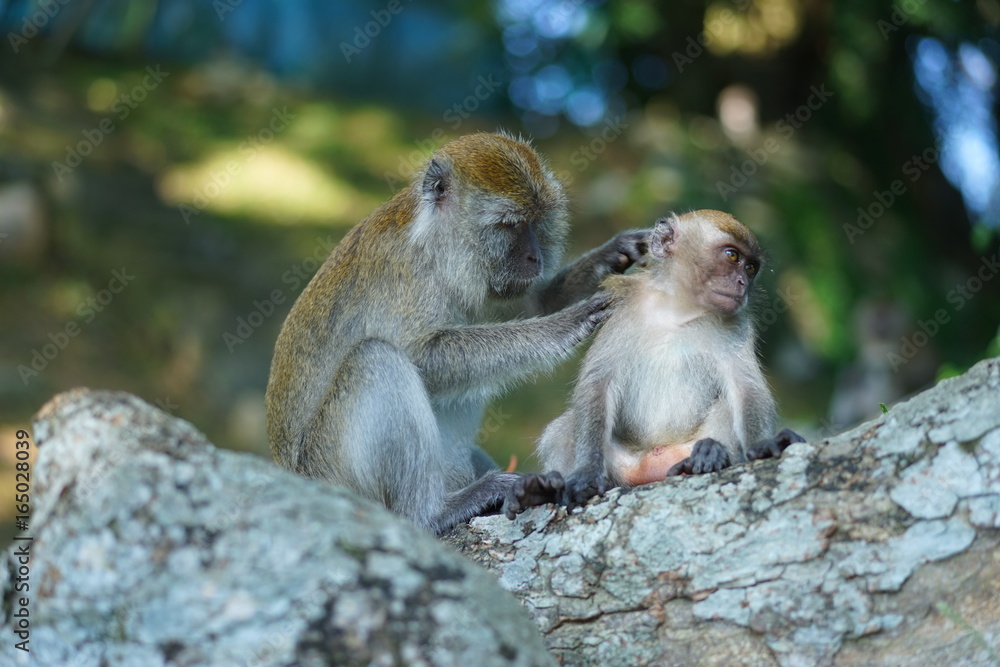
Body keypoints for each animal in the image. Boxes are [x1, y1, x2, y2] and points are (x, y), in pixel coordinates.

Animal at [264, 133, 648, 536]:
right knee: (376, 358)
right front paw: (570, 322)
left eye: (538, 222)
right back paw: (432, 512)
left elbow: (531, 304)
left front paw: (612, 254)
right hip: (336, 476)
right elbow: (422, 354)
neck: (434, 245)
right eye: (509, 225)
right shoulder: (411, 277)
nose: (535, 259)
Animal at [508, 211, 804, 516]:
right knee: (563, 427)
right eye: (732, 256)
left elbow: (747, 388)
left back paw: (708, 457)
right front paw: (586, 473)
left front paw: (764, 445)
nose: (743, 284)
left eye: (751, 268)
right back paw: (540, 492)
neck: (678, 310)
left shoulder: (737, 325)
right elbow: (597, 385)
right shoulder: (622, 312)